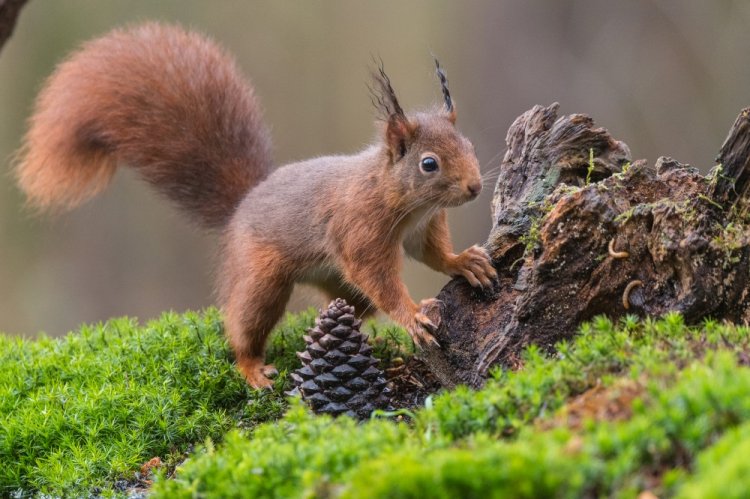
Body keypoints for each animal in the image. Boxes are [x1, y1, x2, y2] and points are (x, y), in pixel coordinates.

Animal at [14, 23, 496, 388]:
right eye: (429, 164)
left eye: (470, 145)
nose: (474, 187)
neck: (402, 200)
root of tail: (243, 204)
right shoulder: (360, 228)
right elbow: (378, 276)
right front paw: (412, 315)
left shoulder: (422, 227)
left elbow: (432, 253)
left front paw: (464, 262)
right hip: (261, 277)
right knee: (243, 323)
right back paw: (252, 367)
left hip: (332, 282)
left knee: (349, 305)